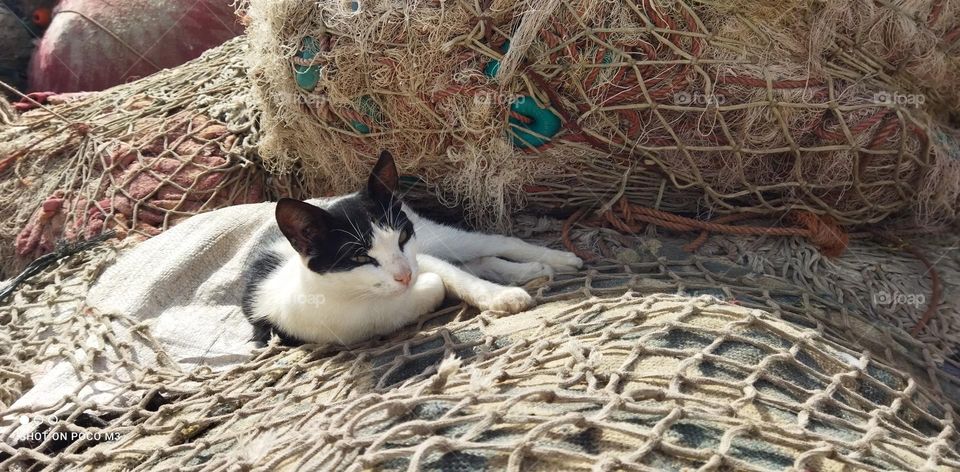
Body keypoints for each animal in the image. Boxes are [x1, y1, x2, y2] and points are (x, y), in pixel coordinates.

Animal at [244, 151, 580, 346]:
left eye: (402, 237)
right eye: (359, 256)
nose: (405, 276)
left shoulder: (418, 255)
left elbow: (454, 276)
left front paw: (500, 296)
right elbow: (431, 288)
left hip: (436, 237)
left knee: (493, 244)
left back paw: (555, 260)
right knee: (478, 259)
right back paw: (531, 270)